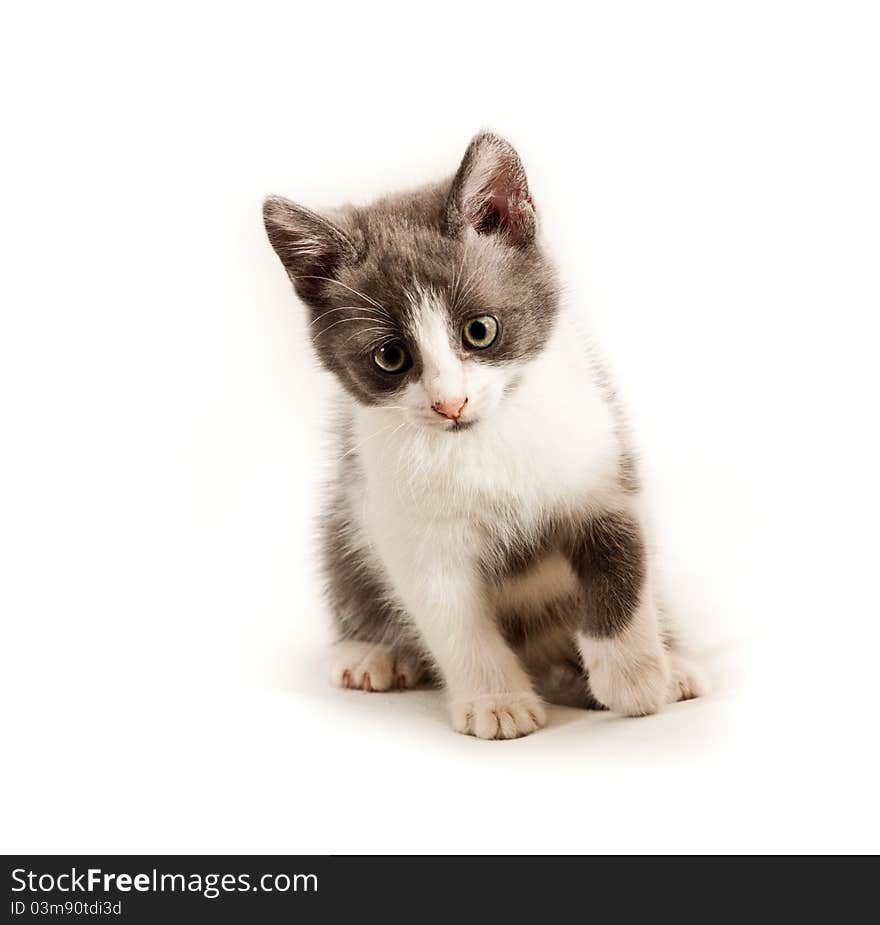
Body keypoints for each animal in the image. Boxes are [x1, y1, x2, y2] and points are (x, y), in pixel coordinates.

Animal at [264, 130, 704, 740]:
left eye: (480, 330)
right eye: (390, 357)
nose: (451, 404)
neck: (481, 443)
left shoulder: (601, 466)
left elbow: (623, 566)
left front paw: (636, 679)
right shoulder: (407, 527)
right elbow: (453, 621)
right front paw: (497, 701)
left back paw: (672, 664)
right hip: (344, 520)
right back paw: (371, 653)